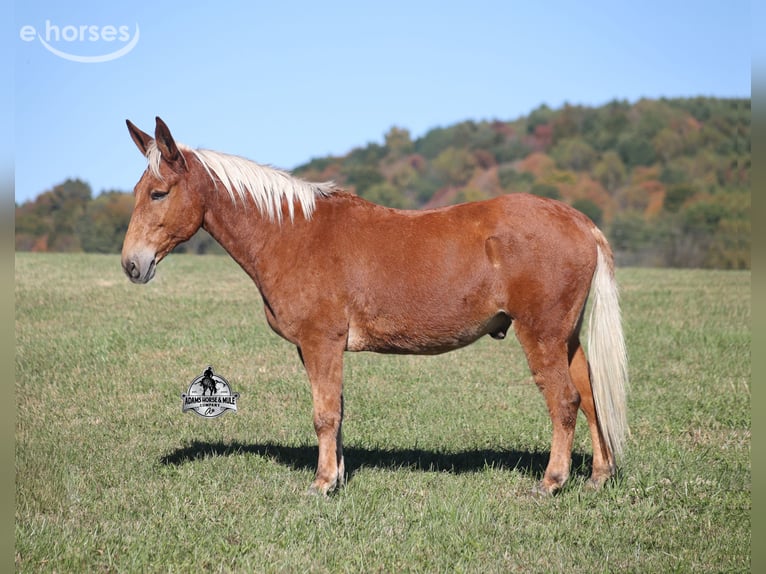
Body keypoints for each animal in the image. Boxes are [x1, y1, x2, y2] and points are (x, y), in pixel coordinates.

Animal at [121, 117, 628, 496]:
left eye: (159, 193)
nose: (131, 264)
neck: (293, 233)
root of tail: (579, 221)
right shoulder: (316, 348)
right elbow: (337, 410)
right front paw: (338, 475)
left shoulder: (321, 341)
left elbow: (324, 413)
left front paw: (322, 484)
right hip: (565, 337)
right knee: (589, 394)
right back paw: (599, 477)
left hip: (541, 334)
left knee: (564, 401)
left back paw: (552, 481)